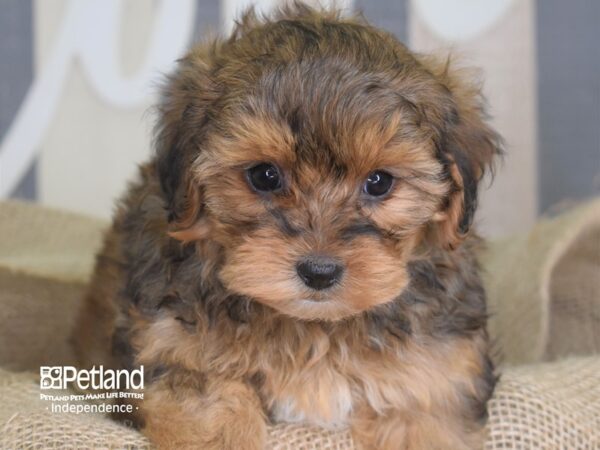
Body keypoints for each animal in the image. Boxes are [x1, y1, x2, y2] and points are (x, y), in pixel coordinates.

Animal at [70, 4, 502, 450]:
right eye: (264, 176)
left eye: (379, 182)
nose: (319, 271)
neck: (314, 328)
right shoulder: (175, 350)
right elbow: (211, 412)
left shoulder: (430, 382)